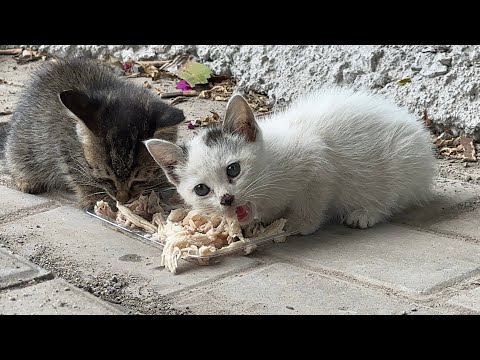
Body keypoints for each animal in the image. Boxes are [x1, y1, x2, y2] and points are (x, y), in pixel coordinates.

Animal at [4, 57, 185, 208]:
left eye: (138, 180)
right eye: (106, 179)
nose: (122, 199)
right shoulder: (64, 147)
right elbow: (78, 175)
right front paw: (93, 197)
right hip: (22, 145)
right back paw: (26, 180)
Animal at [143, 86, 436, 235]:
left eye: (233, 169)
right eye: (201, 189)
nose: (226, 199)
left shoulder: (317, 160)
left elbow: (313, 198)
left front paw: (300, 224)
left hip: (403, 163)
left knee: (393, 197)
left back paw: (366, 212)